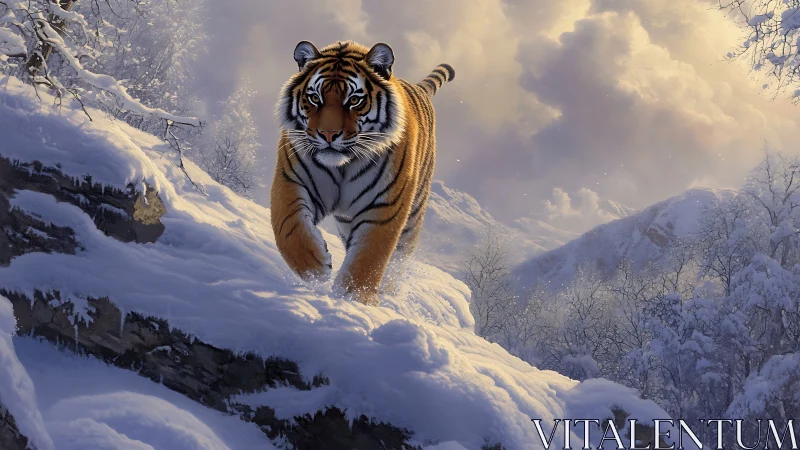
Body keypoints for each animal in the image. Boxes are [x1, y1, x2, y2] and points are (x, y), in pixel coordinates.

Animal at [270, 40, 455, 305]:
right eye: (314, 98)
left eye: (354, 100)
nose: (328, 134)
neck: (343, 166)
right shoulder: (292, 179)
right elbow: (288, 228)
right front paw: (314, 267)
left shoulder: (384, 207)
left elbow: (370, 255)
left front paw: (354, 297)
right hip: (346, 221)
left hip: (413, 216)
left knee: (399, 257)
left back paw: (388, 291)